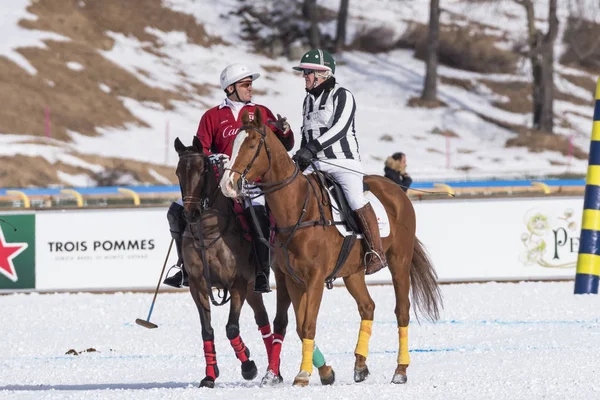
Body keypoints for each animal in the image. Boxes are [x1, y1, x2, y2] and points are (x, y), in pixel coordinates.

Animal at [173, 137, 272, 388]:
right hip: (250, 289)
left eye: (203, 170)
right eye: (178, 172)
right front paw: (210, 375)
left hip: (252, 283)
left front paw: (248, 367)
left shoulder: (238, 283)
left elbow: (231, 328)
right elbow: (207, 330)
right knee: (262, 319)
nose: (191, 213)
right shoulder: (197, 285)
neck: (208, 232)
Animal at [219, 111, 440, 386]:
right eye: (233, 144)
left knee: (402, 311)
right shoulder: (292, 279)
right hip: (353, 271)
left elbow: (308, 324)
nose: (227, 185)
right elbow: (299, 325)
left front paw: (303, 374)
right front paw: (324, 372)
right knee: (367, 306)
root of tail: (396, 190)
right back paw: (360, 366)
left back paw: (400, 370)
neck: (297, 208)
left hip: (399, 260)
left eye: (251, 146)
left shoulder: (314, 277)